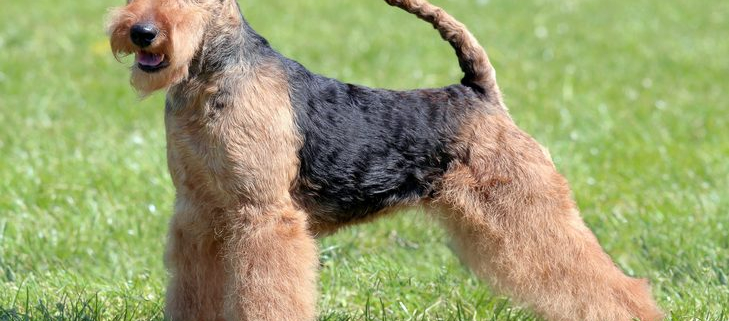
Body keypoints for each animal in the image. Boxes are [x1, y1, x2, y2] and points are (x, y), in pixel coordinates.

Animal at [105, 0, 664, 318]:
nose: (141, 33)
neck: (209, 79)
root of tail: (477, 92)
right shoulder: (198, 216)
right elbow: (192, 292)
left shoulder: (265, 217)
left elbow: (267, 293)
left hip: (528, 208)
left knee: (612, 283)